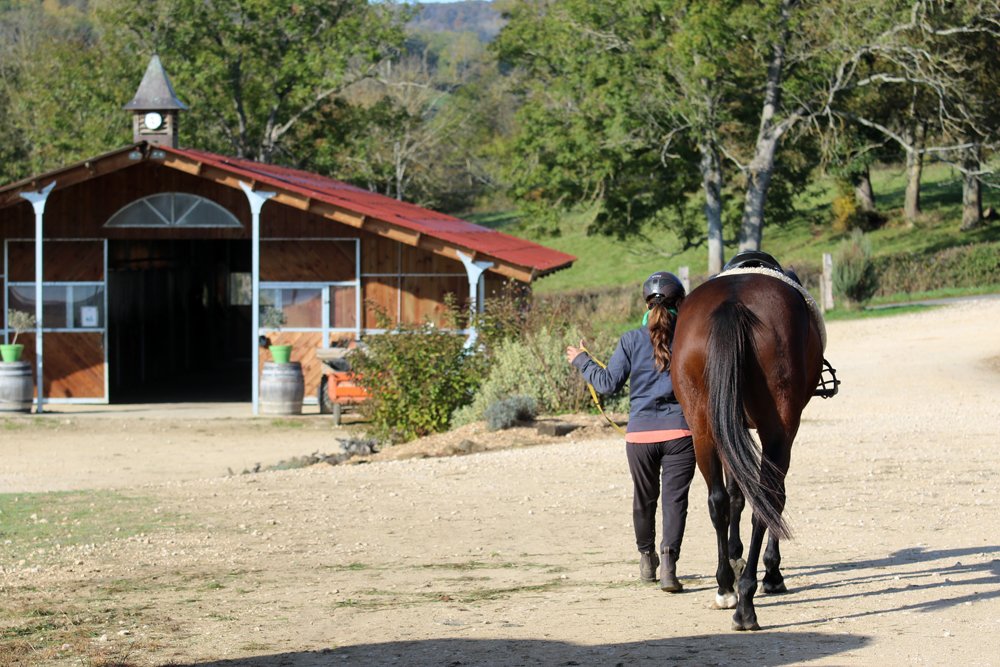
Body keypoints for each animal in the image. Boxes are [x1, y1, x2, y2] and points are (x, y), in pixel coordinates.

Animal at [671, 263, 825, 631]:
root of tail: (734, 302)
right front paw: (771, 571)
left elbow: (733, 496)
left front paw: (734, 557)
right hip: (777, 428)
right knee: (767, 500)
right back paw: (747, 600)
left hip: (703, 427)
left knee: (718, 501)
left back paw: (726, 588)